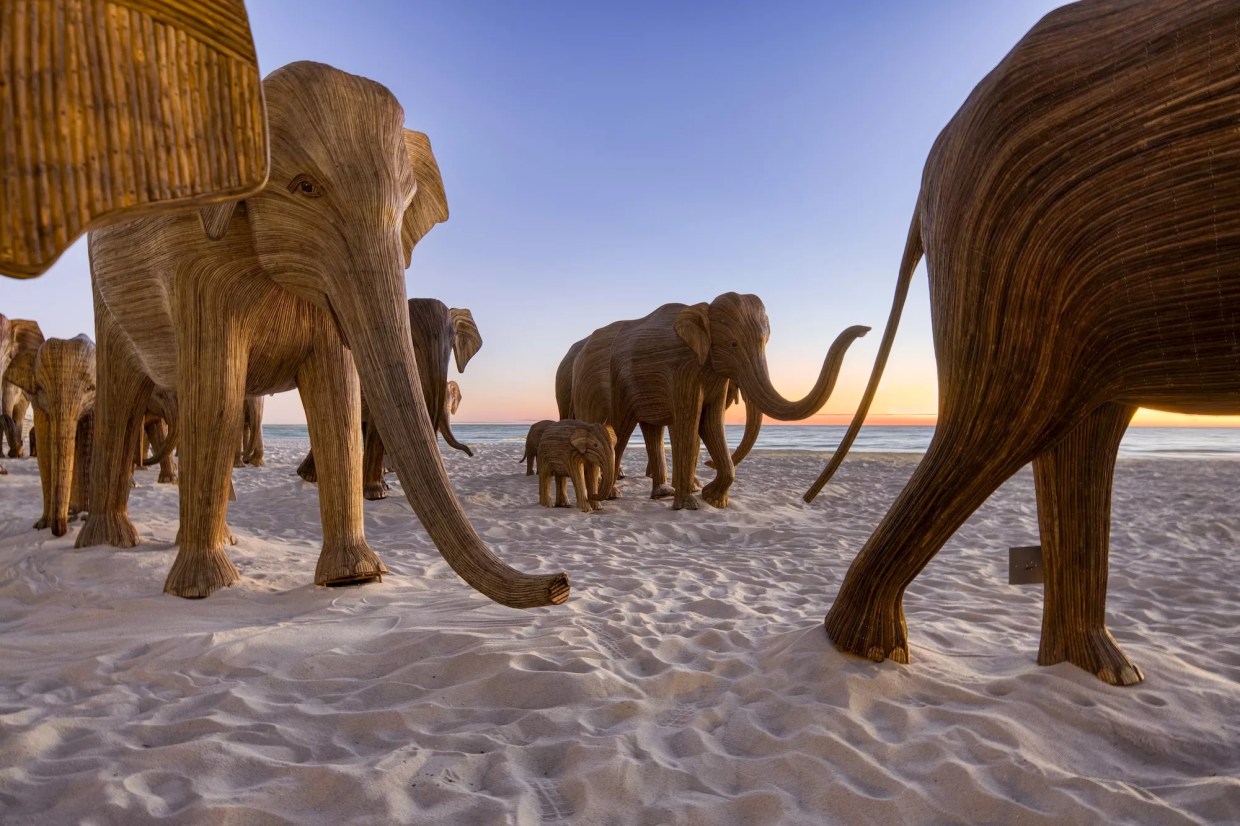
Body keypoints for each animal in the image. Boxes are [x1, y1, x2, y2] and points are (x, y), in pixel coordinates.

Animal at [3, 335, 96, 536]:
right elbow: (44, 442)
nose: (59, 531)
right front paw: (41, 524)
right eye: (41, 388)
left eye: (90, 388)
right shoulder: (38, 402)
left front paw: (84, 517)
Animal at [78, 61, 566, 608]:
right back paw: (108, 542)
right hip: (106, 293)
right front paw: (202, 590)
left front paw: (353, 578)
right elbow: (217, 396)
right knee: (122, 394)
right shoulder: (196, 261)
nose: (561, 583)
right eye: (304, 187)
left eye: (406, 205)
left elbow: (338, 396)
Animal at [568, 292, 868, 510]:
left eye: (765, 342)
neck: (704, 309)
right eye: (733, 344)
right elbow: (690, 424)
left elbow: (711, 423)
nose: (865, 329)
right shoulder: (683, 367)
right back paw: (613, 495)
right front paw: (689, 505)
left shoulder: (712, 372)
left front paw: (713, 499)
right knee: (621, 428)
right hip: (615, 381)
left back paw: (661, 493)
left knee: (650, 428)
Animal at [804, 0, 1240, 686]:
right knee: (993, 427)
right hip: (1016, 261)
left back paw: (1106, 672)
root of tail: (927, 176)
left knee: (1072, 437)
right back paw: (871, 651)